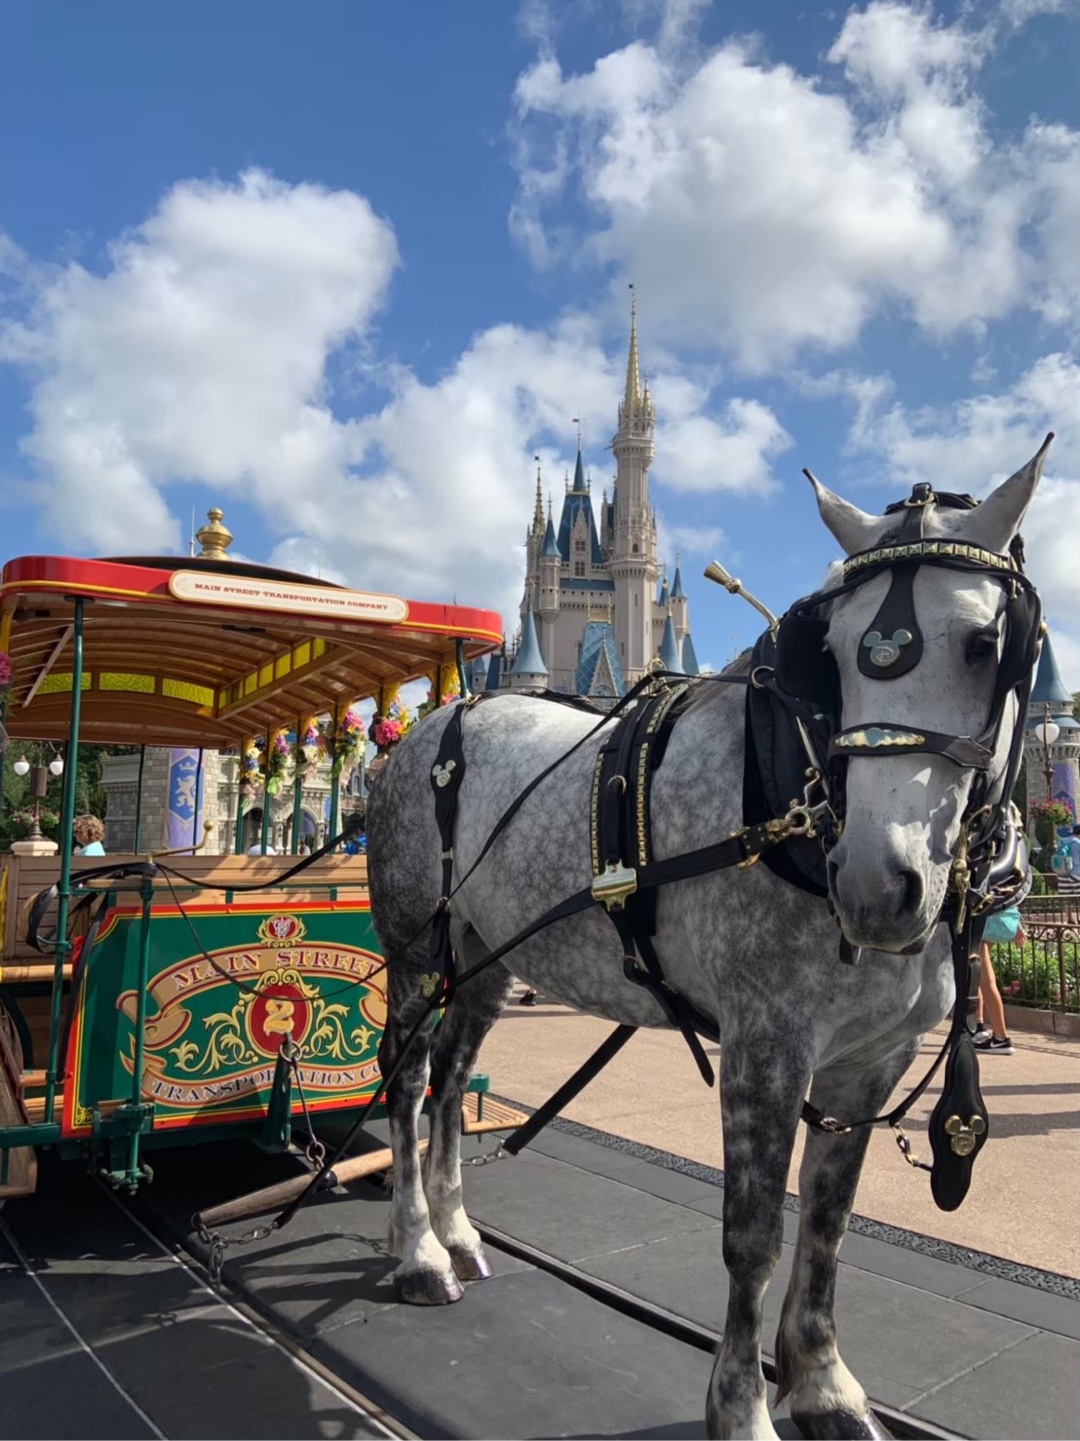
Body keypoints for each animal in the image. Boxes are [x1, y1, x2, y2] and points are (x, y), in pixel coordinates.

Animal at [366, 441, 1049, 1441]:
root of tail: (441, 718)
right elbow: (754, 1233)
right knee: (410, 1076)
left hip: (488, 954)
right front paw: (743, 1407)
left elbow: (830, 1221)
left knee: (452, 1076)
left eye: (985, 644)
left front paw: (825, 1385)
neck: (791, 792)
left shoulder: (872, 1058)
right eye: (834, 652)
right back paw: (416, 1250)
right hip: (418, 947)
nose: (877, 884)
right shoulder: (765, 1044)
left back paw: (457, 1233)